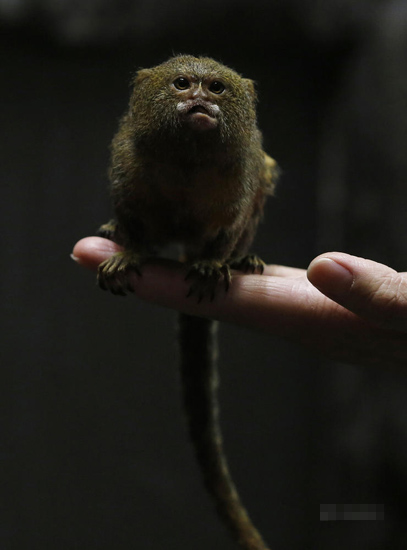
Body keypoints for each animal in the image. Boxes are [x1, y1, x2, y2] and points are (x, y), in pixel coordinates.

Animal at [97, 56, 278, 550]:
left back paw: (240, 259)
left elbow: (229, 225)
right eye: (182, 84)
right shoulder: (127, 163)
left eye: (216, 88)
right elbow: (132, 218)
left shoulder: (242, 175)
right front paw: (129, 249)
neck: (189, 161)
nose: (198, 100)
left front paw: (215, 263)